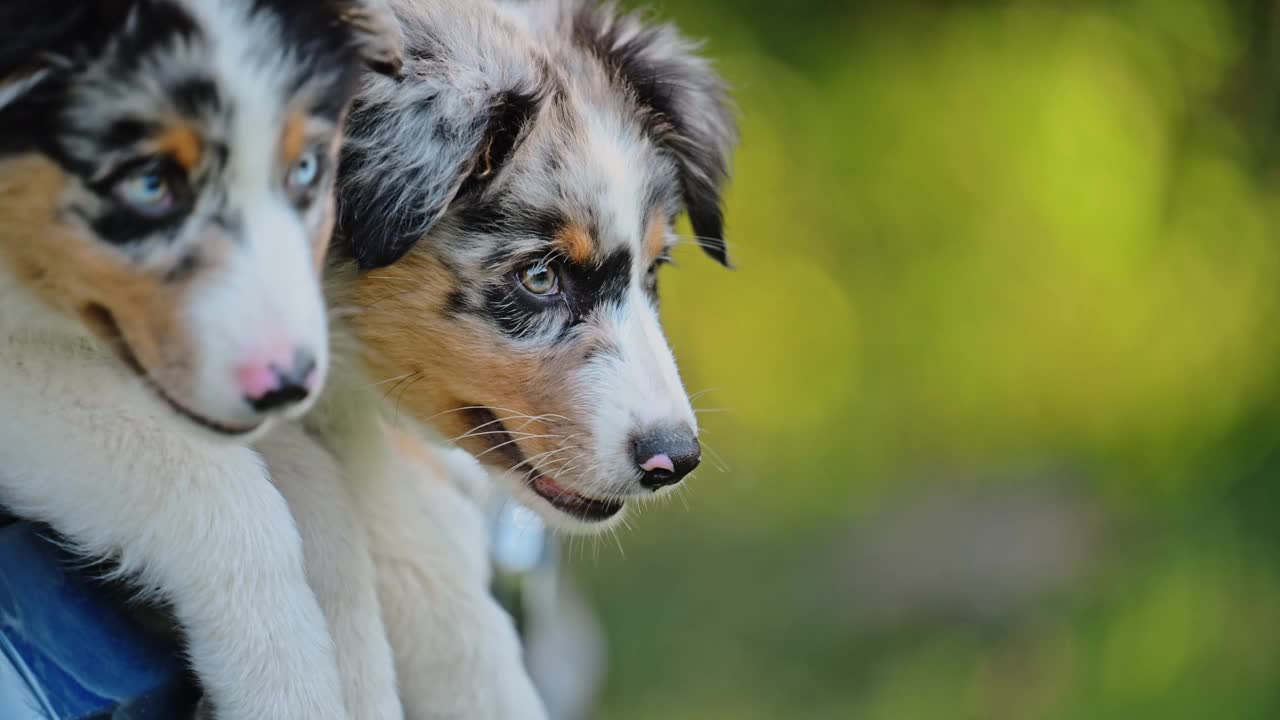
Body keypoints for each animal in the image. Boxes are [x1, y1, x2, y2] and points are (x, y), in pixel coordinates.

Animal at [0, 2, 399, 712]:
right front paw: (287, 692)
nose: (290, 386)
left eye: (305, 170)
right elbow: (216, 484)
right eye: (149, 184)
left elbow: (317, 486)